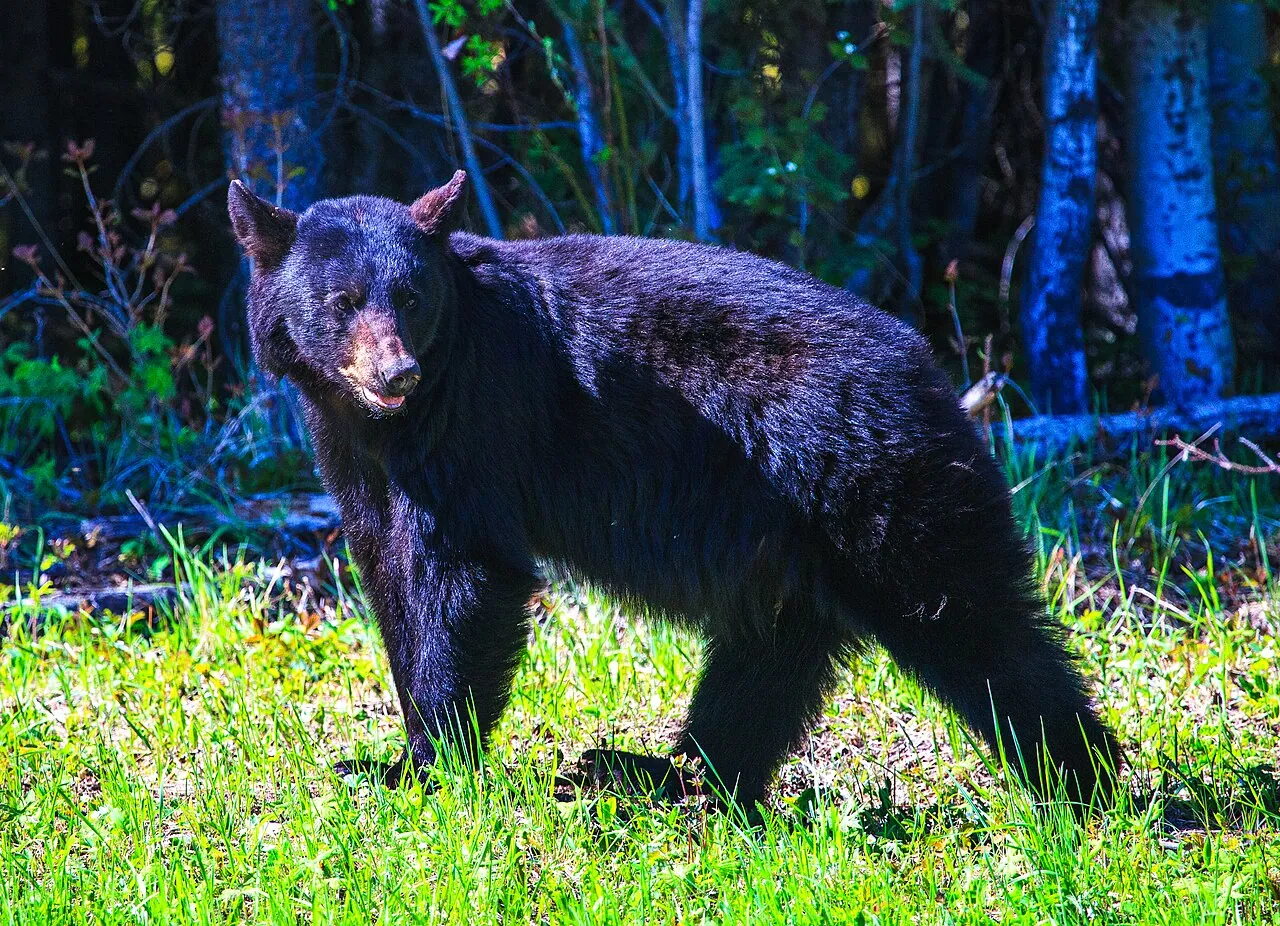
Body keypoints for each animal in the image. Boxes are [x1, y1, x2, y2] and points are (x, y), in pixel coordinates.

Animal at [228, 170, 1121, 812]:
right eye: (341, 302)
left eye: (411, 297)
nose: (397, 373)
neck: (392, 423)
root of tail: (933, 374)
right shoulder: (356, 455)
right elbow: (390, 575)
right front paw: (389, 754)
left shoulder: (475, 426)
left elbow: (467, 578)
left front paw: (428, 766)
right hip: (798, 544)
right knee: (767, 657)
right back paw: (661, 776)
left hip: (880, 492)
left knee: (977, 627)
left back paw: (1090, 788)